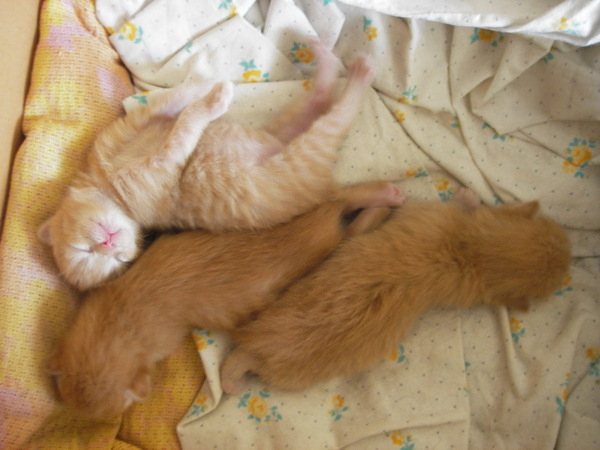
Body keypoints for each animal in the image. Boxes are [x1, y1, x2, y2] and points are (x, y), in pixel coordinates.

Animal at [38, 42, 375, 290]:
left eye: (84, 250)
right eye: (113, 263)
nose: (109, 246)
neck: (106, 181)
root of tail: (324, 191)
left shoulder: (132, 127)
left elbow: (173, 103)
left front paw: (208, 85)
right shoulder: (162, 166)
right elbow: (185, 128)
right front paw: (215, 100)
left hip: (281, 130)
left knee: (318, 98)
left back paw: (327, 58)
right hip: (303, 154)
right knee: (335, 114)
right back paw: (360, 76)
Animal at [45, 182, 407, 418]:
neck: (118, 318)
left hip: (326, 243)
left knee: (347, 212)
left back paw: (384, 205)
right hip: (311, 222)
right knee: (344, 200)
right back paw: (386, 198)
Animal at [220, 189, 572, 393]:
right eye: (556, 231)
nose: (573, 252)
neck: (471, 252)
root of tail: (257, 351)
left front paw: (467, 196)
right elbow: (463, 205)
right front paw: (470, 196)